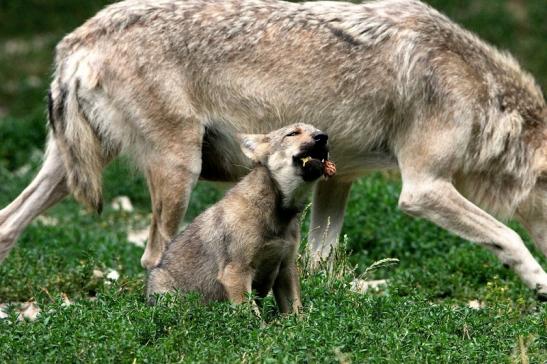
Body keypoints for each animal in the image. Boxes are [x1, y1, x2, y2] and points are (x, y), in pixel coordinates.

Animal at [1, 0, 547, 296]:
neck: (487, 100)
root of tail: (77, 40)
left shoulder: (340, 179)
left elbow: (322, 261)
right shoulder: (422, 189)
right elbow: (508, 236)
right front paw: (540, 285)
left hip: (67, 171)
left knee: (8, 224)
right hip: (179, 170)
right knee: (151, 257)